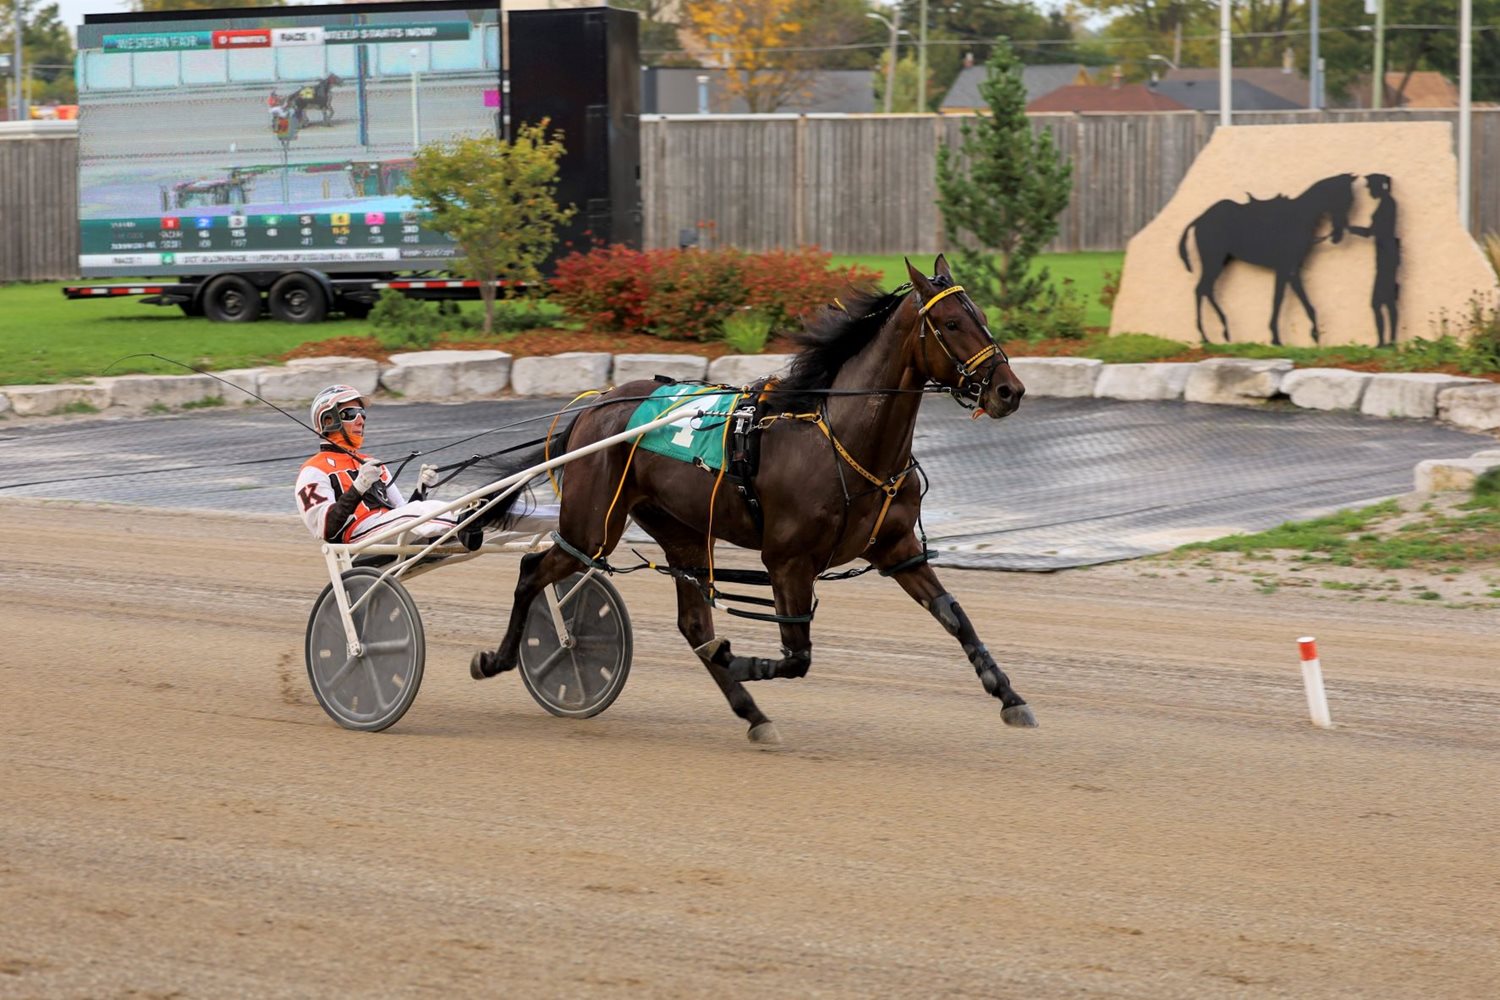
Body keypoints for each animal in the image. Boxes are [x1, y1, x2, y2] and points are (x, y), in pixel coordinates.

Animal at [474, 256, 1038, 743]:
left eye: (984, 317)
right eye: (951, 322)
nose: (1009, 391)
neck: (843, 439)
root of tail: (594, 407)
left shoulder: (896, 549)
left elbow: (954, 615)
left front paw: (1010, 697)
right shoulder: (788, 560)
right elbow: (796, 656)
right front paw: (737, 657)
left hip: (682, 531)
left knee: (692, 625)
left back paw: (752, 714)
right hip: (593, 528)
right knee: (533, 570)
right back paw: (497, 659)